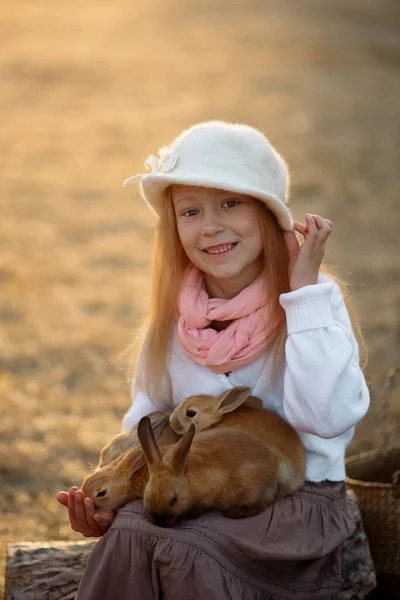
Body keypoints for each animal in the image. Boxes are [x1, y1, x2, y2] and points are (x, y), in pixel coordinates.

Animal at [138, 414, 282, 528]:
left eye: (174, 500)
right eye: (147, 496)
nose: (159, 523)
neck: (187, 480)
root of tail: (274, 472)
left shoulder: (206, 499)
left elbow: (198, 511)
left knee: (261, 505)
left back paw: (233, 513)